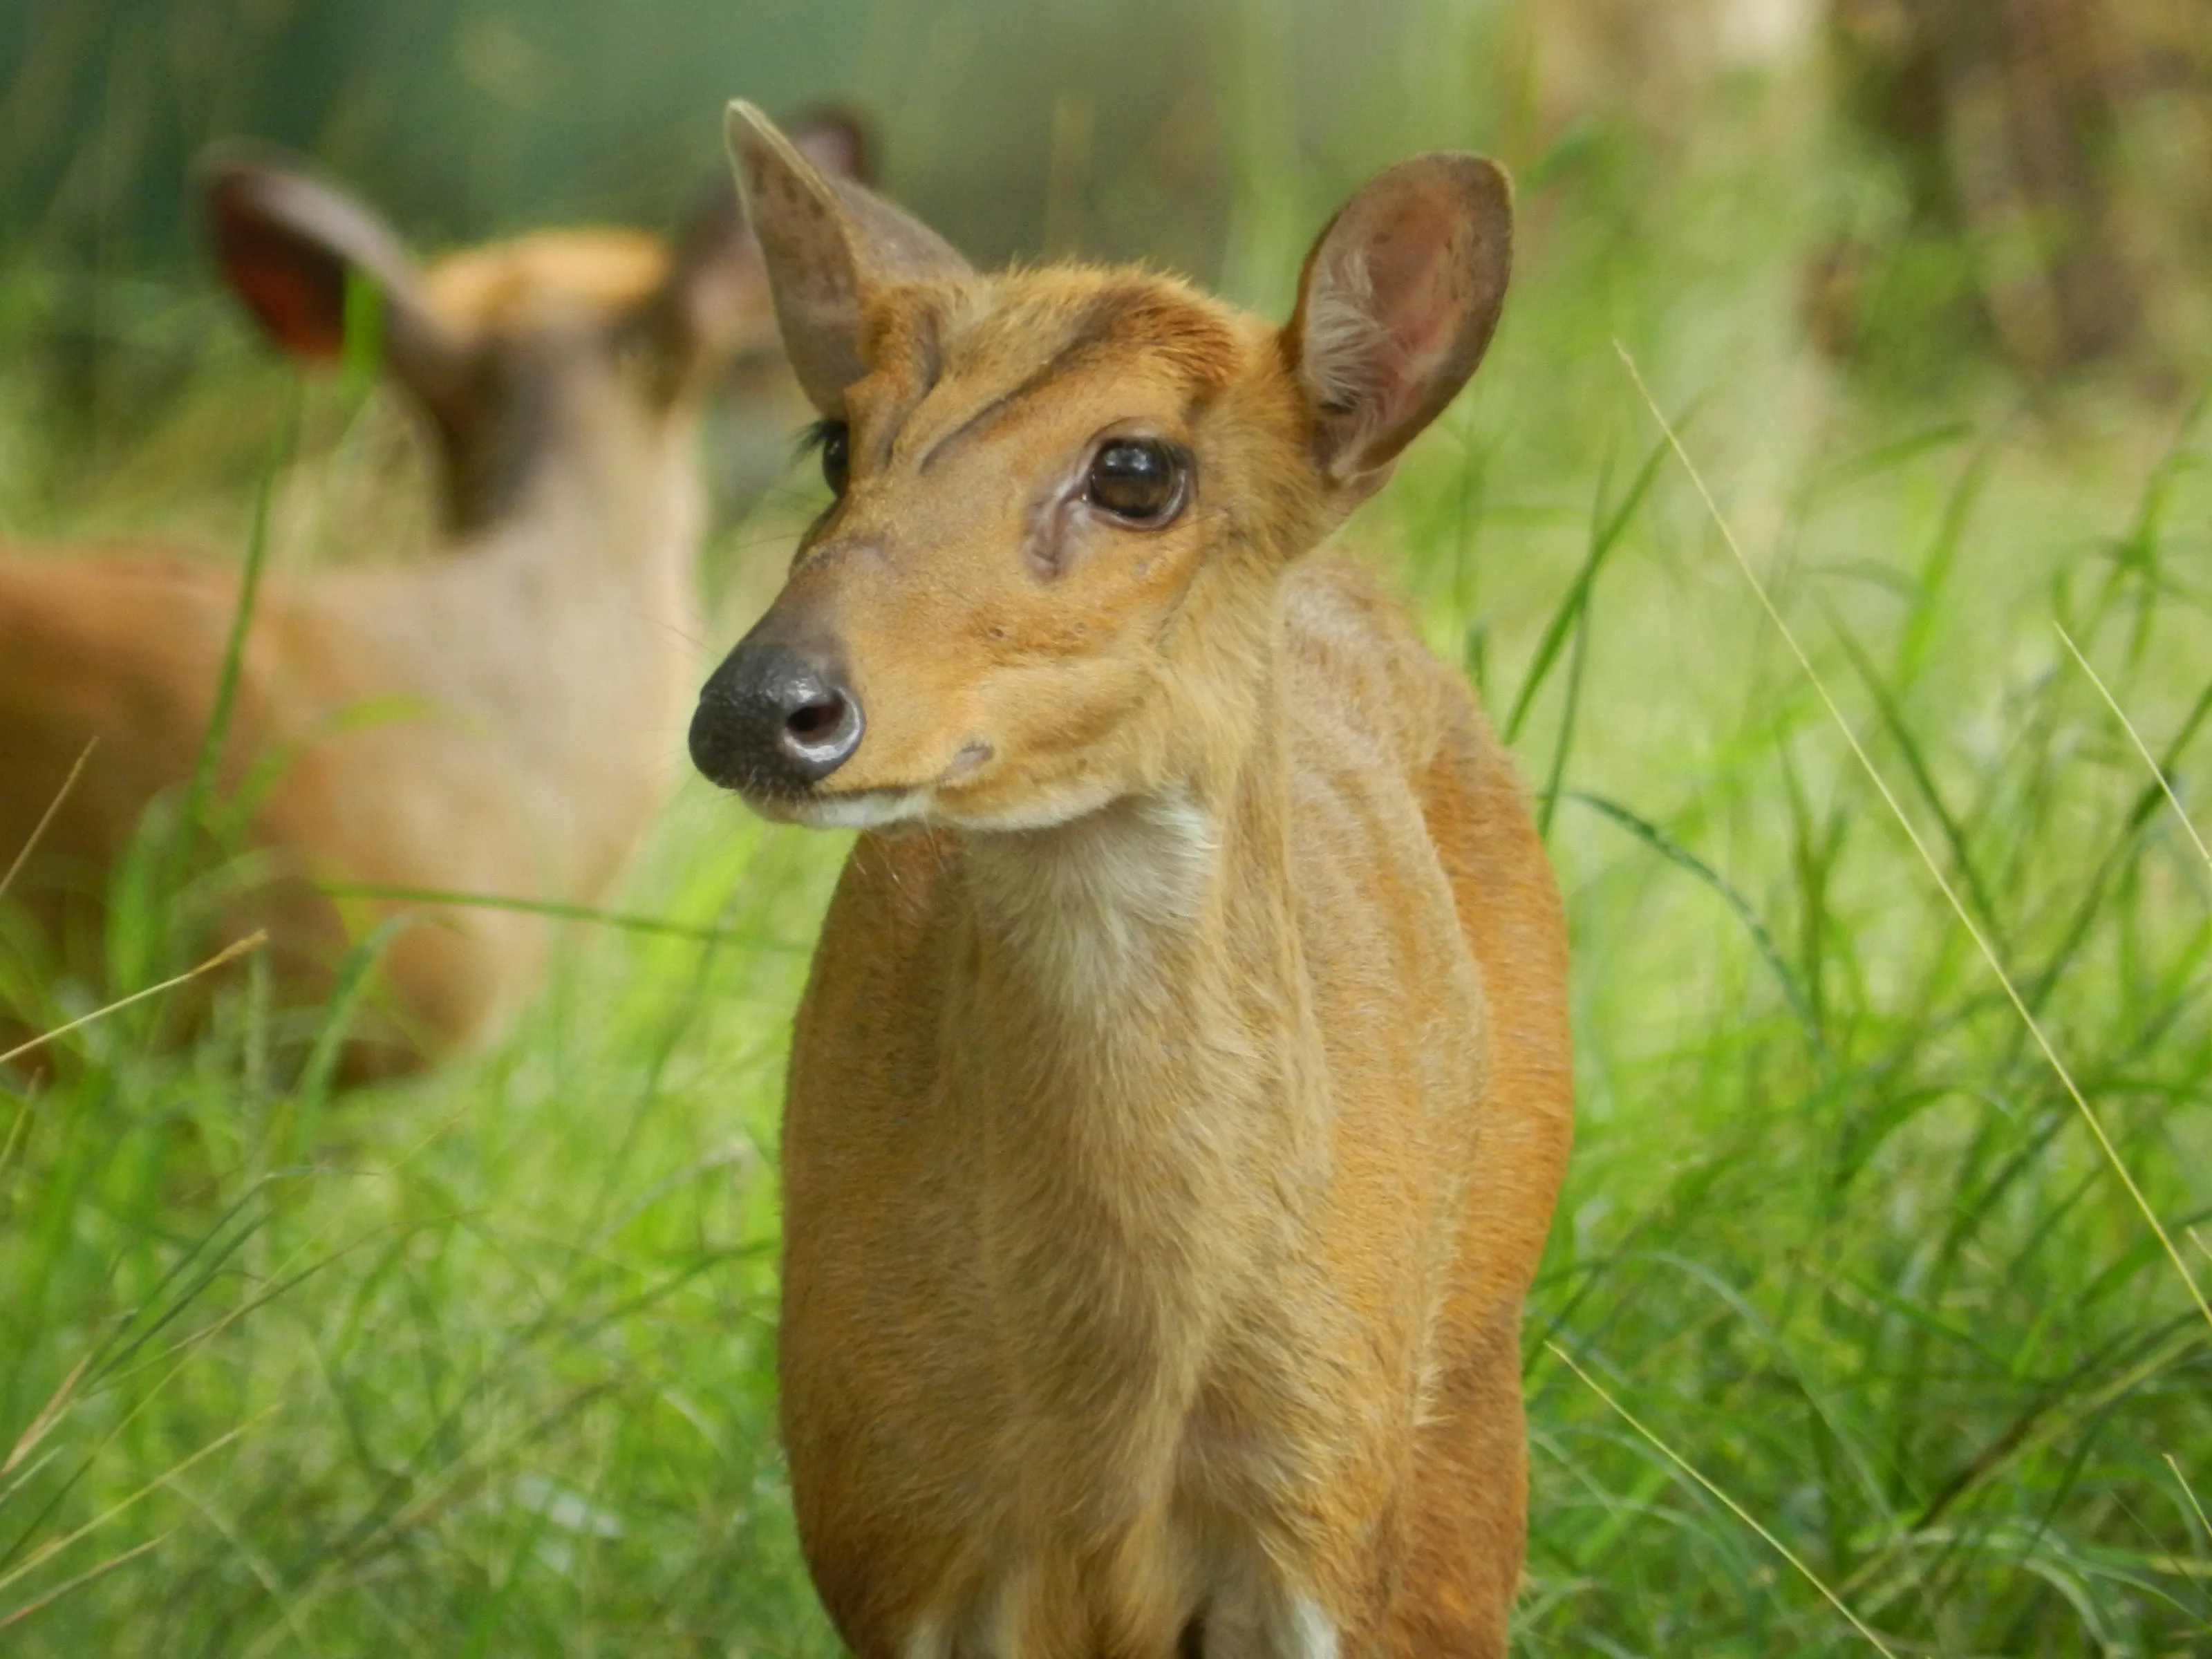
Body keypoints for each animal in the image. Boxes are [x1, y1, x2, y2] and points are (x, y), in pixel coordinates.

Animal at [687, 102, 1572, 1656]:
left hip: (1467, 1422)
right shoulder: (882, 1512)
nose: (762, 705)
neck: (1107, 1417)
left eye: (1138, 471)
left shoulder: (1322, 1514)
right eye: (836, 439)